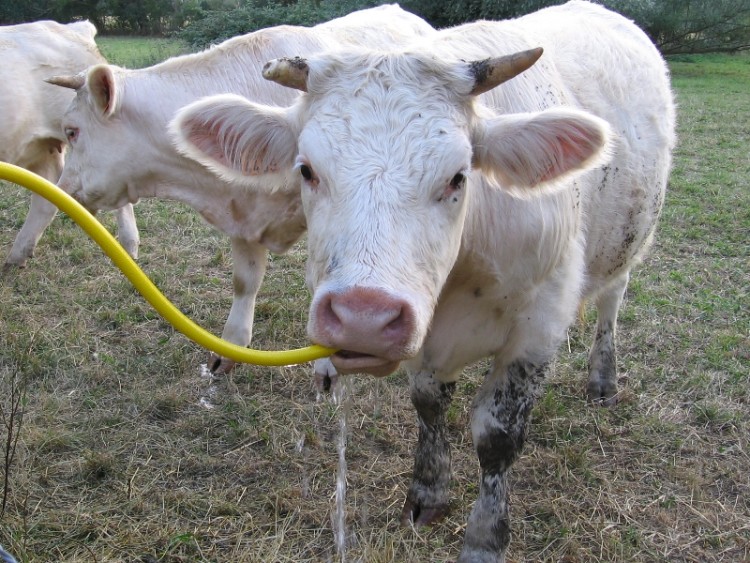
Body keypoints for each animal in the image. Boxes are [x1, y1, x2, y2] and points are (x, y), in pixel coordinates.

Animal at [173, 2, 680, 560]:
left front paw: (485, 538)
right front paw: (428, 493)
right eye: (305, 170)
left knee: (612, 301)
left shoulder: (538, 329)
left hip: (630, 242)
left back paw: (603, 378)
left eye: (459, 176)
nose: (363, 317)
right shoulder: (424, 334)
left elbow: (498, 437)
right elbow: (429, 404)